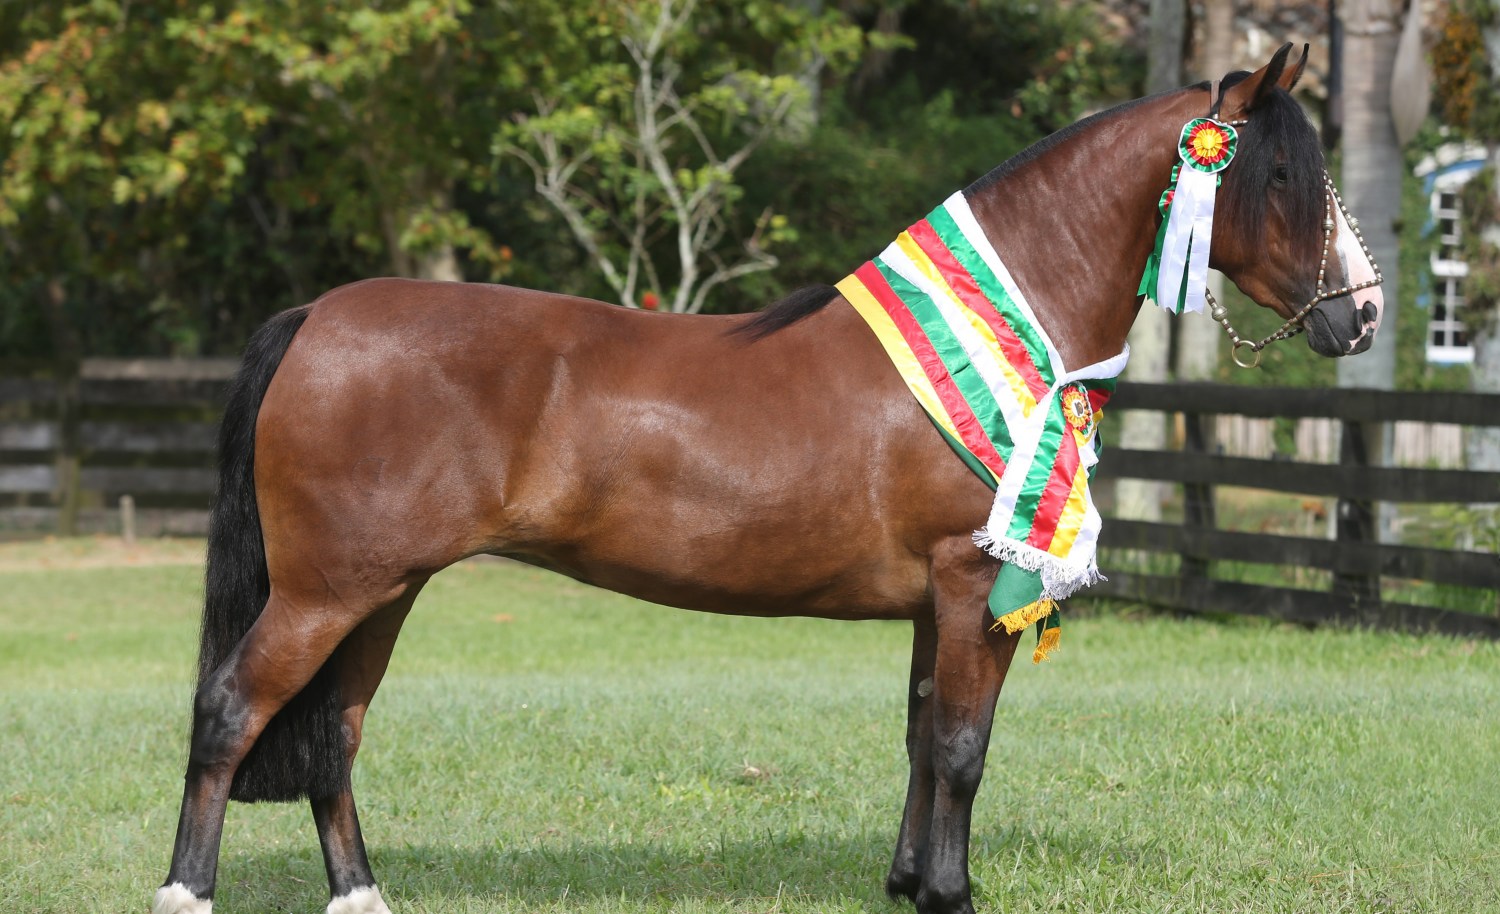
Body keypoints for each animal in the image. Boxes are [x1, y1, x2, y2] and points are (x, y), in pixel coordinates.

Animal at [155, 44, 1380, 914]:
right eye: (1281, 172)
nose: (1359, 314)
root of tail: (318, 313)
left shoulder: (935, 604)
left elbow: (921, 735)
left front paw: (906, 882)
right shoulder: (966, 583)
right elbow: (963, 749)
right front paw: (950, 894)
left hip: (381, 590)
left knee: (335, 730)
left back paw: (361, 892)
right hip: (325, 591)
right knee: (232, 712)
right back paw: (186, 890)